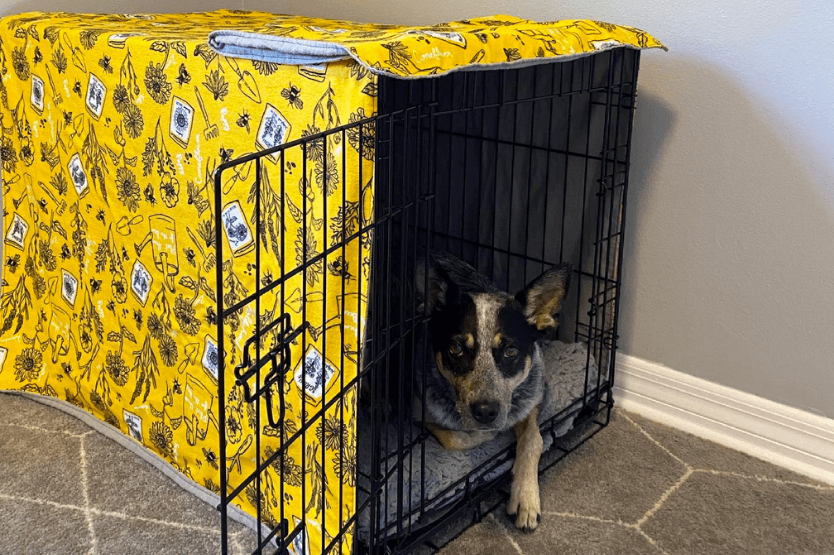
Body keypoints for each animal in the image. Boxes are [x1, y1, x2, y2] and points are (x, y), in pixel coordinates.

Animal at [412, 251, 568, 528]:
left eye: (510, 351)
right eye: (456, 348)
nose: (485, 411)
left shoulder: (533, 397)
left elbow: (534, 439)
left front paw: (526, 496)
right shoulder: (416, 410)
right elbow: (457, 438)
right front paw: (489, 434)